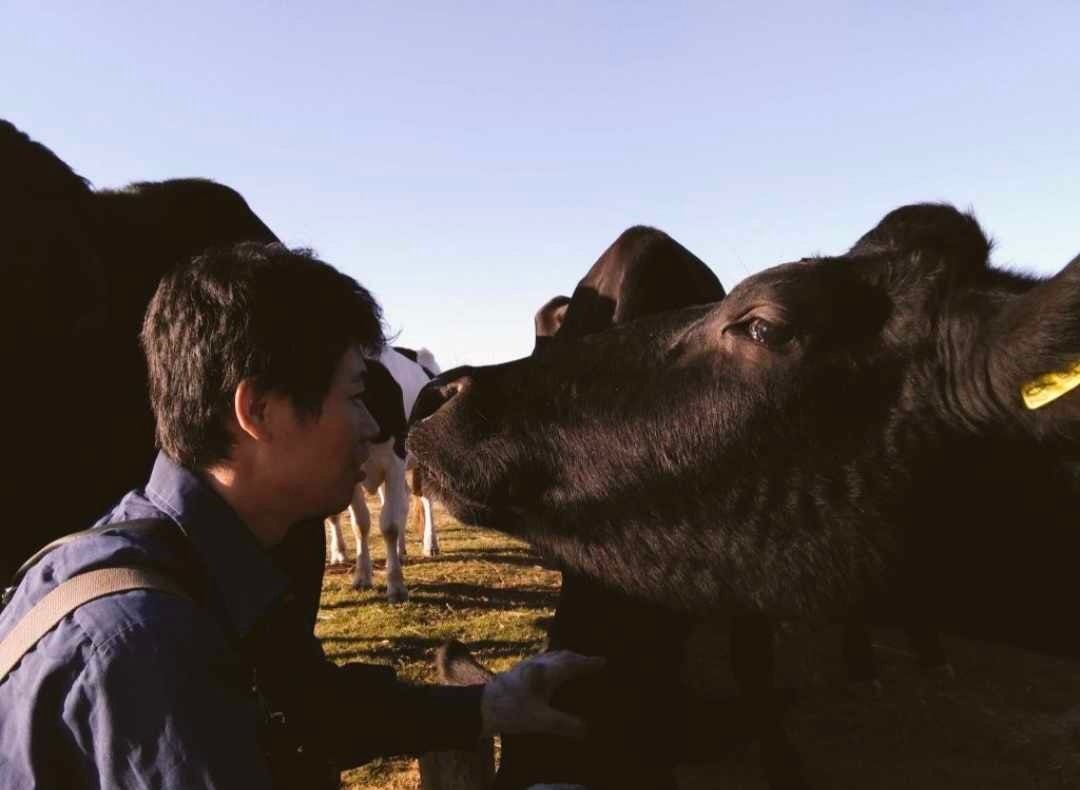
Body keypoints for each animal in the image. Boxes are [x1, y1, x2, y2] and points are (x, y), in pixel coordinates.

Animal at [330, 343, 444, 600]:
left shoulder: (394, 461)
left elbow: (389, 524)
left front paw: (396, 585)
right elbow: (360, 523)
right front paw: (362, 576)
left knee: (425, 499)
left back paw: (430, 545)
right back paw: (401, 550)